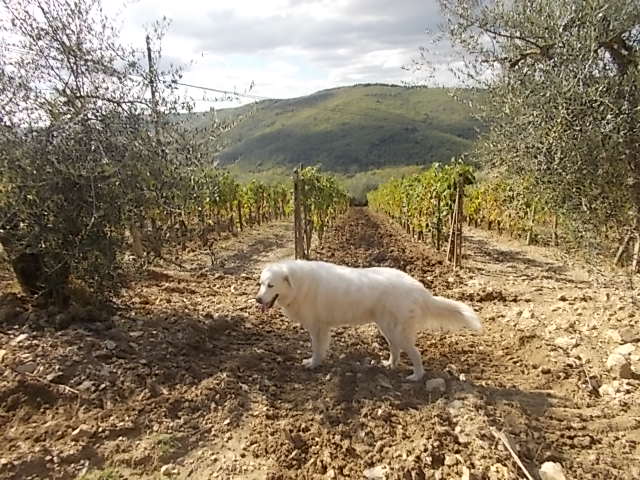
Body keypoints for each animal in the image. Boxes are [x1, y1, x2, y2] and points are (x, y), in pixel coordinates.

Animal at [256, 259, 481, 381]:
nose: (257, 299)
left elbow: (317, 349)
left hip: (398, 331)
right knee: (395, 349)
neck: (300, 284)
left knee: (415, 354)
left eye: (271, 285)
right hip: (387, 328)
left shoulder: (318, 327)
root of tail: (420, 289)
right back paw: (389, 365)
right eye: (260, 284)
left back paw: (416, 377)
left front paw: (313, 364)